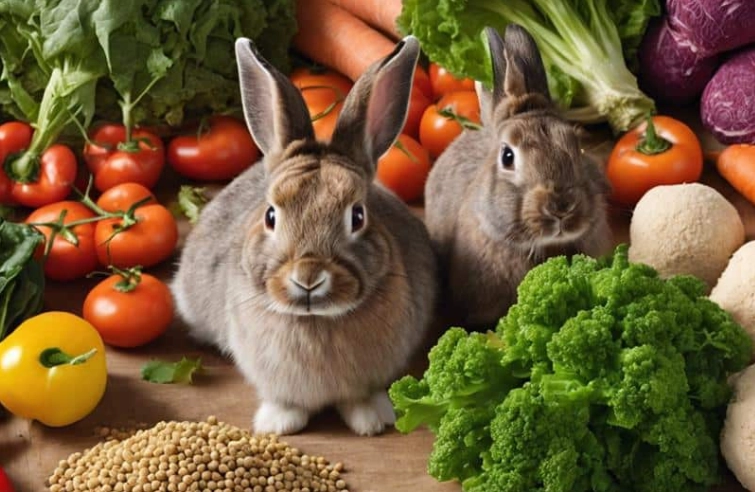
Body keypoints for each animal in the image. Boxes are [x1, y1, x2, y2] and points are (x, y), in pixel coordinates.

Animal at [171, 35, 438, 437]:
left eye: (358, 216)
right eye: (270, 215)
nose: (308, 278)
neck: (316, 321)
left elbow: (362, 397)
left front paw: (372, 422)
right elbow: (285, 402)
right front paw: (277, 426)